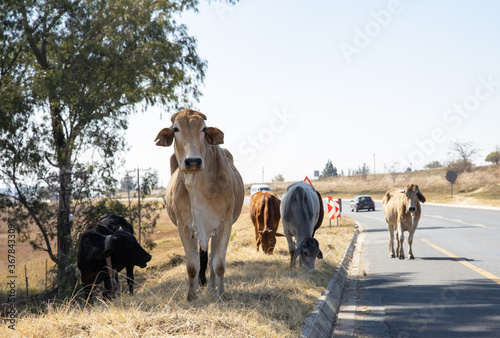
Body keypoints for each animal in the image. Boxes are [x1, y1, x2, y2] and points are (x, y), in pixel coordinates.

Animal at [154, 109, 244, 302]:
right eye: (175, 129)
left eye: (203, 129)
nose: (193, 161)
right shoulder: (184, 227)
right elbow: (192, 265)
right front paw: (191, 296)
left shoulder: (224, 225)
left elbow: (218, 263)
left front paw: (221, 294)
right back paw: (196, 286)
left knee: (210, 260)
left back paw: (211, 287)